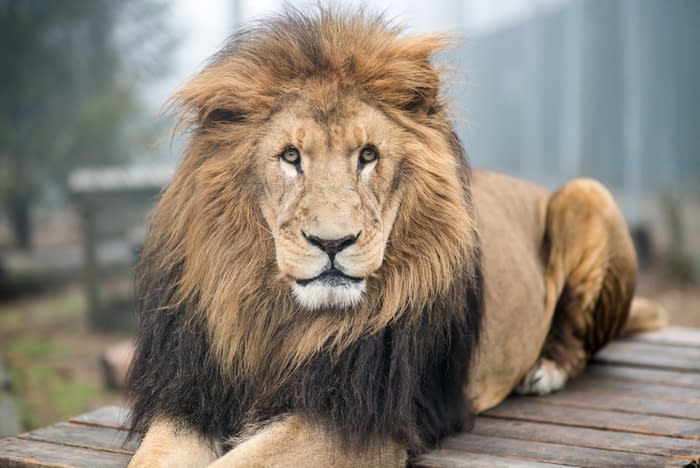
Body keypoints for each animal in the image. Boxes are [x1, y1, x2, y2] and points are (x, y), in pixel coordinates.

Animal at [126, 8, 662, 467]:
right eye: (290, 156)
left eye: (368, 155)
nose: (332, 243)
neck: (275, 317)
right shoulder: (189, 394)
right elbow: (153, 456)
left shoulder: (356, 420)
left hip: (588, 193)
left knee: (580, 343)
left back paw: (546, 368)